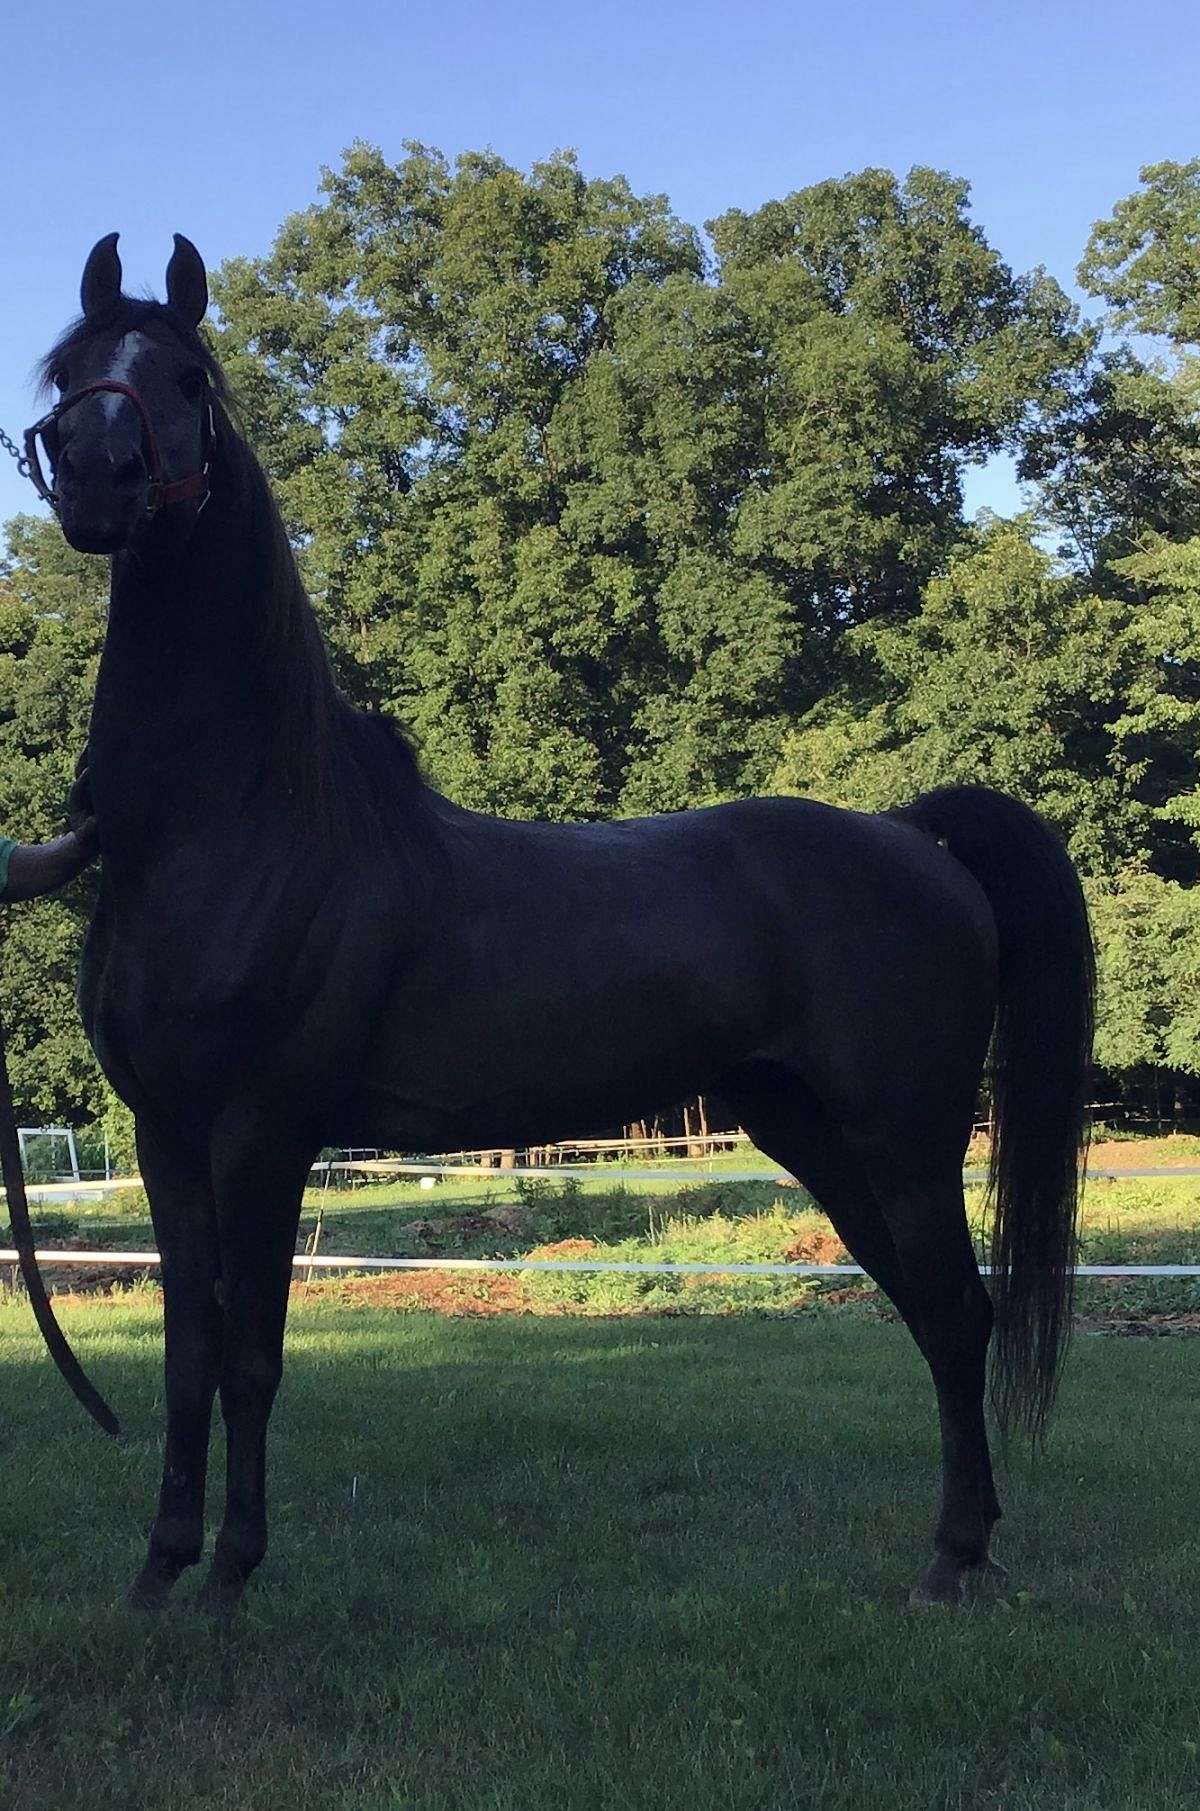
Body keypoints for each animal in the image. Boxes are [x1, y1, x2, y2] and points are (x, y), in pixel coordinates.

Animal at [29, 233, 1094, 1610]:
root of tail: (912, 832)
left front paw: (229, 1575)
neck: (239, 824)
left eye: (187, 376)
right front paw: (161, 1568)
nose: (96, 478)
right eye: (71, 370)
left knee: (958, 1316)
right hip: (814, 1130)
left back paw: (951, 1556)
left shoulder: (263, 1132)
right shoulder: (170, 1137)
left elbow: (254, 1355)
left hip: (903, 1135)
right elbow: (187, 1357)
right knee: (930, 1312)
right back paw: (971, 1539)